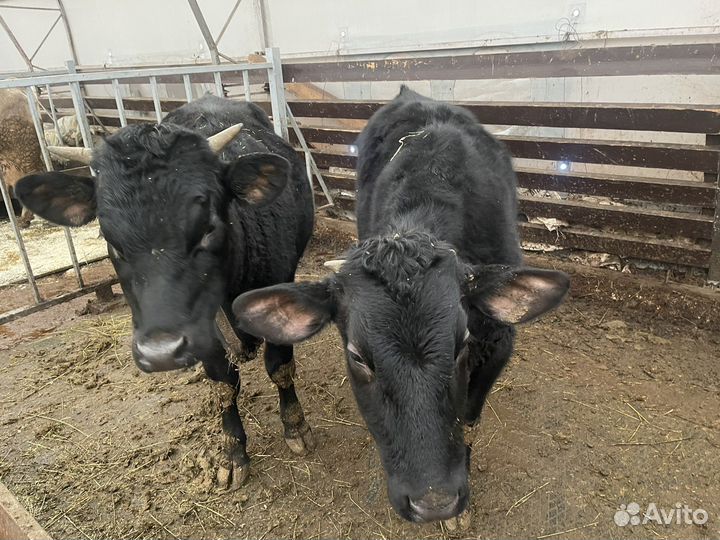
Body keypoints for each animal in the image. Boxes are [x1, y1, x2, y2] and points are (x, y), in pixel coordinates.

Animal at [15, 94, 316, 489]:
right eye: (110, 240)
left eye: (208, 227)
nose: (159, 354)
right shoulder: (201, 329)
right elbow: (223, 384)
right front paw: (232, 451)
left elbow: (280, 367)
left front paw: (296, 426)